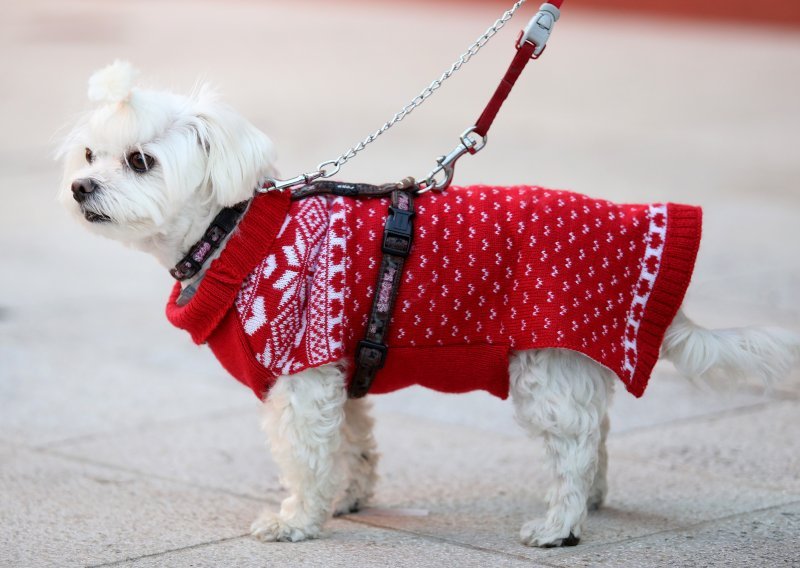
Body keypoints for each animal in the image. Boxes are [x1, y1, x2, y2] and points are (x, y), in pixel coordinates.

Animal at [57, 64, 800, 548]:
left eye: (141, 161)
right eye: (90, 153)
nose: (80, 186)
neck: (233, 231)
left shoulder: (303, 372)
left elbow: (305, 453)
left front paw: (297, 520)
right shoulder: (341, 371)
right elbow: (352, 442)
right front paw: (346, 498)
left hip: (544, 369)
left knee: (576, 445)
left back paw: (559, 525)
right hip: (572, 364)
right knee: (599, 434)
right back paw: (590, 503)